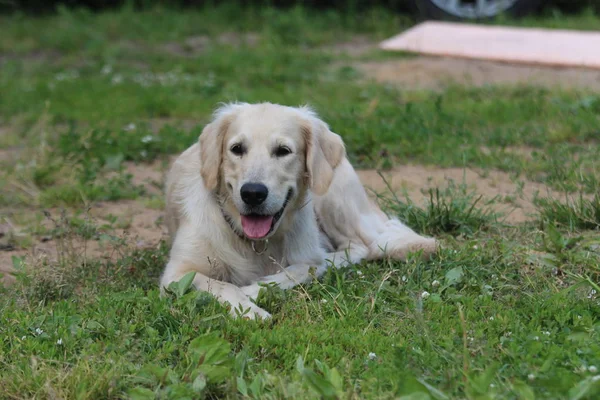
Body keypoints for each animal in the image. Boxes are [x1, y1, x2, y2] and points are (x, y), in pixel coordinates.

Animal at [159, 103, 436, 318]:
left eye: (283, 151)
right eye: (237, 149)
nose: (252, 193)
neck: (255, 243)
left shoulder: (306, 254)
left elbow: (303, 268)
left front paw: (254, 291)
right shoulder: (176, 274)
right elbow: (219, 285)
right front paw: (249, 311)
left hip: (333, 196)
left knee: (359, 247)